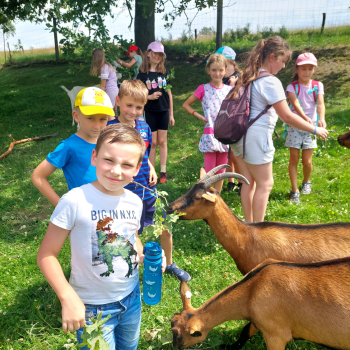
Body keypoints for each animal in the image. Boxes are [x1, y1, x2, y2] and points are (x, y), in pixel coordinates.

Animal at [172, 256, 350, 348]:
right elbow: (245, 332)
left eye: (179, 337)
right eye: (172, 322)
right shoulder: (258, 319)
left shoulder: (276, 334)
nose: (174, 346)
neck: (254, 286)